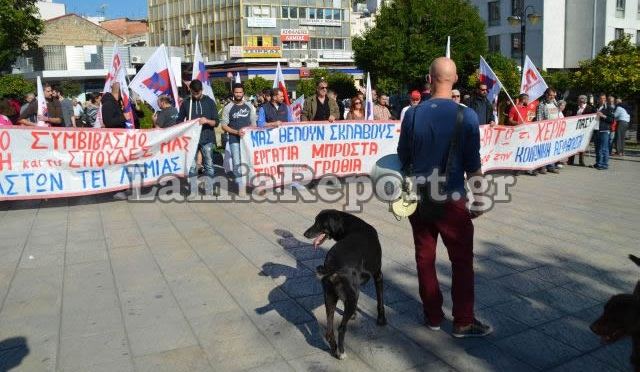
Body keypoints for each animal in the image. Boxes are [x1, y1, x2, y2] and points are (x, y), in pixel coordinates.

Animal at [304, 209, 388, 358]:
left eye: (319, 223)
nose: (305, 234)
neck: (353, 226)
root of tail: (332, 266)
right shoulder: (378, 275)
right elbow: (380, 301)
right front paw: (381, 320)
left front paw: (354, 315)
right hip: (353, 296)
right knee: (341, 328)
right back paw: (342, 352)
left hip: (329, 297)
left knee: (329, 331)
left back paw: (334, 349)